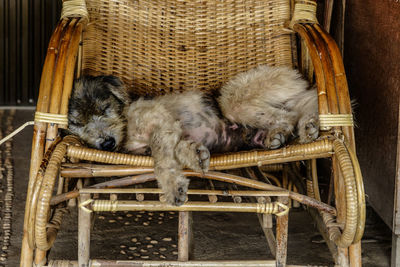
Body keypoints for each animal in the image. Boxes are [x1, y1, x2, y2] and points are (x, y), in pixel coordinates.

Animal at [68, 65, 318, 205]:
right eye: (77, 123)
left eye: (104, 108)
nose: (107, 143)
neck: (127, 122)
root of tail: (294, 74)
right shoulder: (170, 132)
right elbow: (179, 150)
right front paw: (197, 156)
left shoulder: (160, 124)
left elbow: (161, 162)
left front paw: (173, 188)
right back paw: (290, 132)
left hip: (235, 100)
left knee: (290, 115)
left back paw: (299, 128)